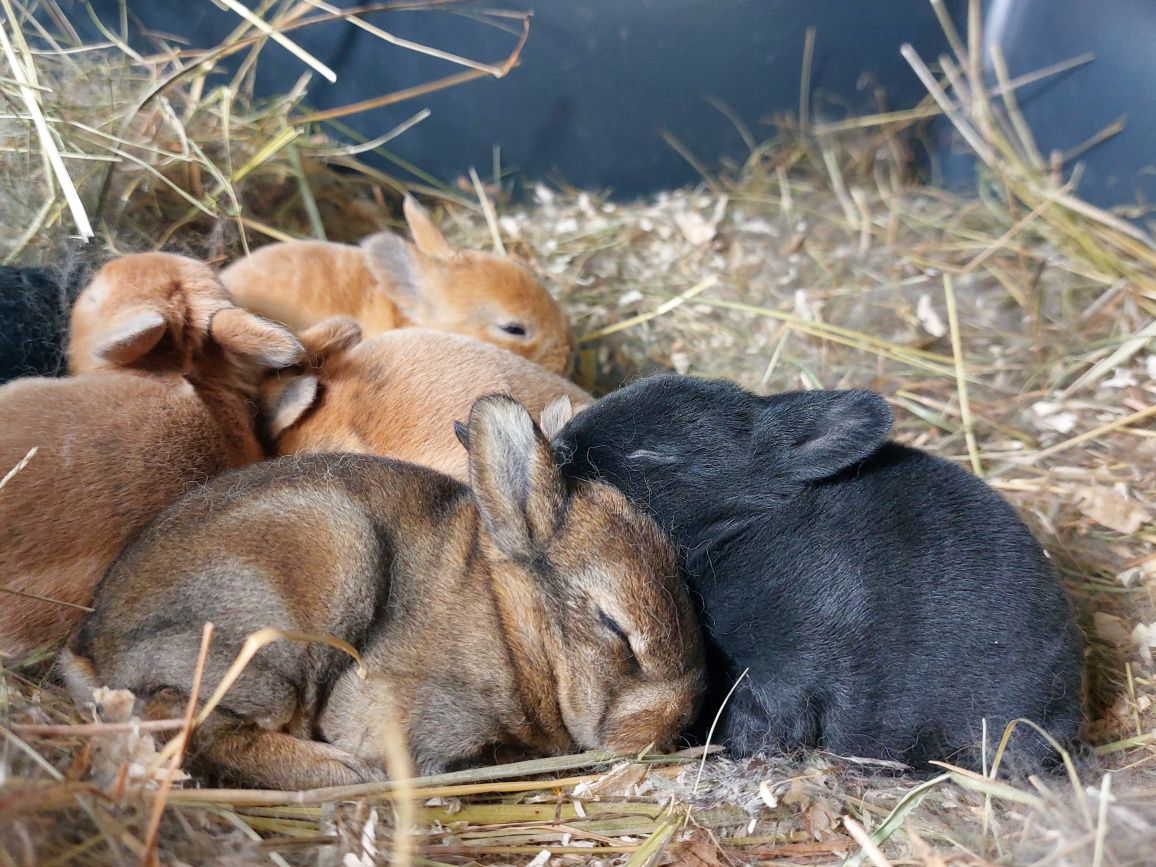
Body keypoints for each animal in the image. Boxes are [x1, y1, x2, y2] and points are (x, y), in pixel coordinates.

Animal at [63, 397, 702, 790]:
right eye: (614, 627)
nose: (670, 729)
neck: (512, 628)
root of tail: (95, 646)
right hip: (317, 574)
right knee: (191, 724)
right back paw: (345, 772)